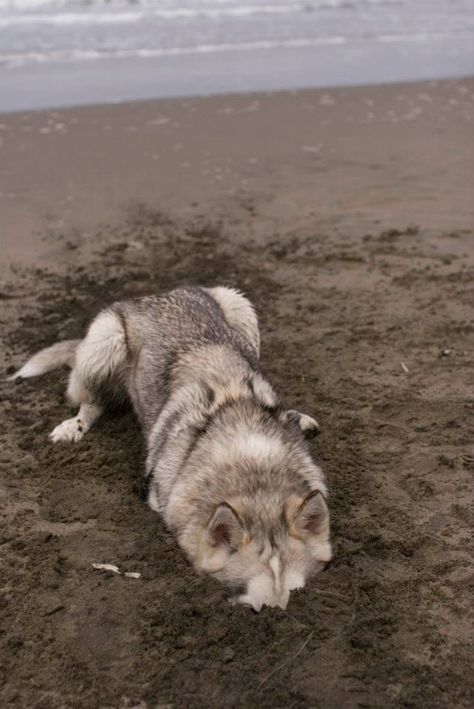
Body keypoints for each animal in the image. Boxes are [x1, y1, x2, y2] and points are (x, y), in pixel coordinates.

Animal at [11, 286, 330, 608]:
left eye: (297, 599)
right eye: (255, 610)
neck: (251, 467)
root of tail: (158, 294)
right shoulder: (156, 495)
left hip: (239, 308)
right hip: (104, 344)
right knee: (93, 402)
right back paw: (73, 426)